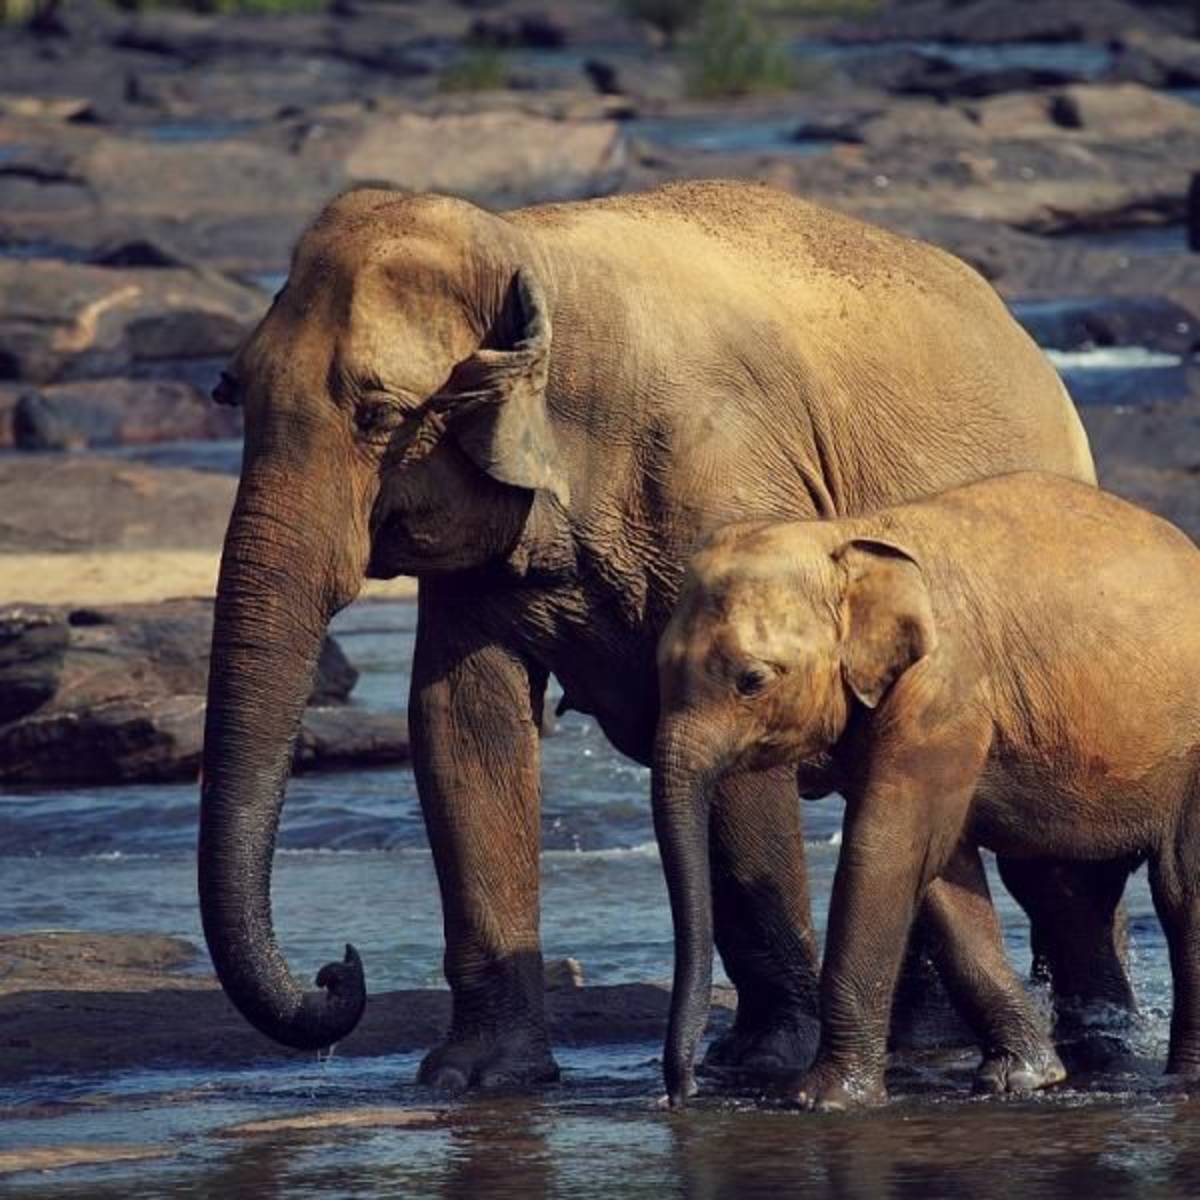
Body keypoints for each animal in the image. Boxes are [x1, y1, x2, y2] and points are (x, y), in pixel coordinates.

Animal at [199, 179, 1111, 1091]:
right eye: (231, 390)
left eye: (379, 411)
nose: (338, 971)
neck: (531, 255)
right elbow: (461, 724)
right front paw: (478, 1078)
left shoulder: (725, 478)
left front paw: (764, 1060)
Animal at [653, 471, 1200, 1109]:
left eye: (753, 680)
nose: (681, 1095)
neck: (842, 537)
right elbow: (938, 866)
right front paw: (1021, 1079)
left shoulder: (941, 692)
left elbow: (885, 848)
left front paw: (819, 1101)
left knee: (1181, 888)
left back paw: (1183, 1080)